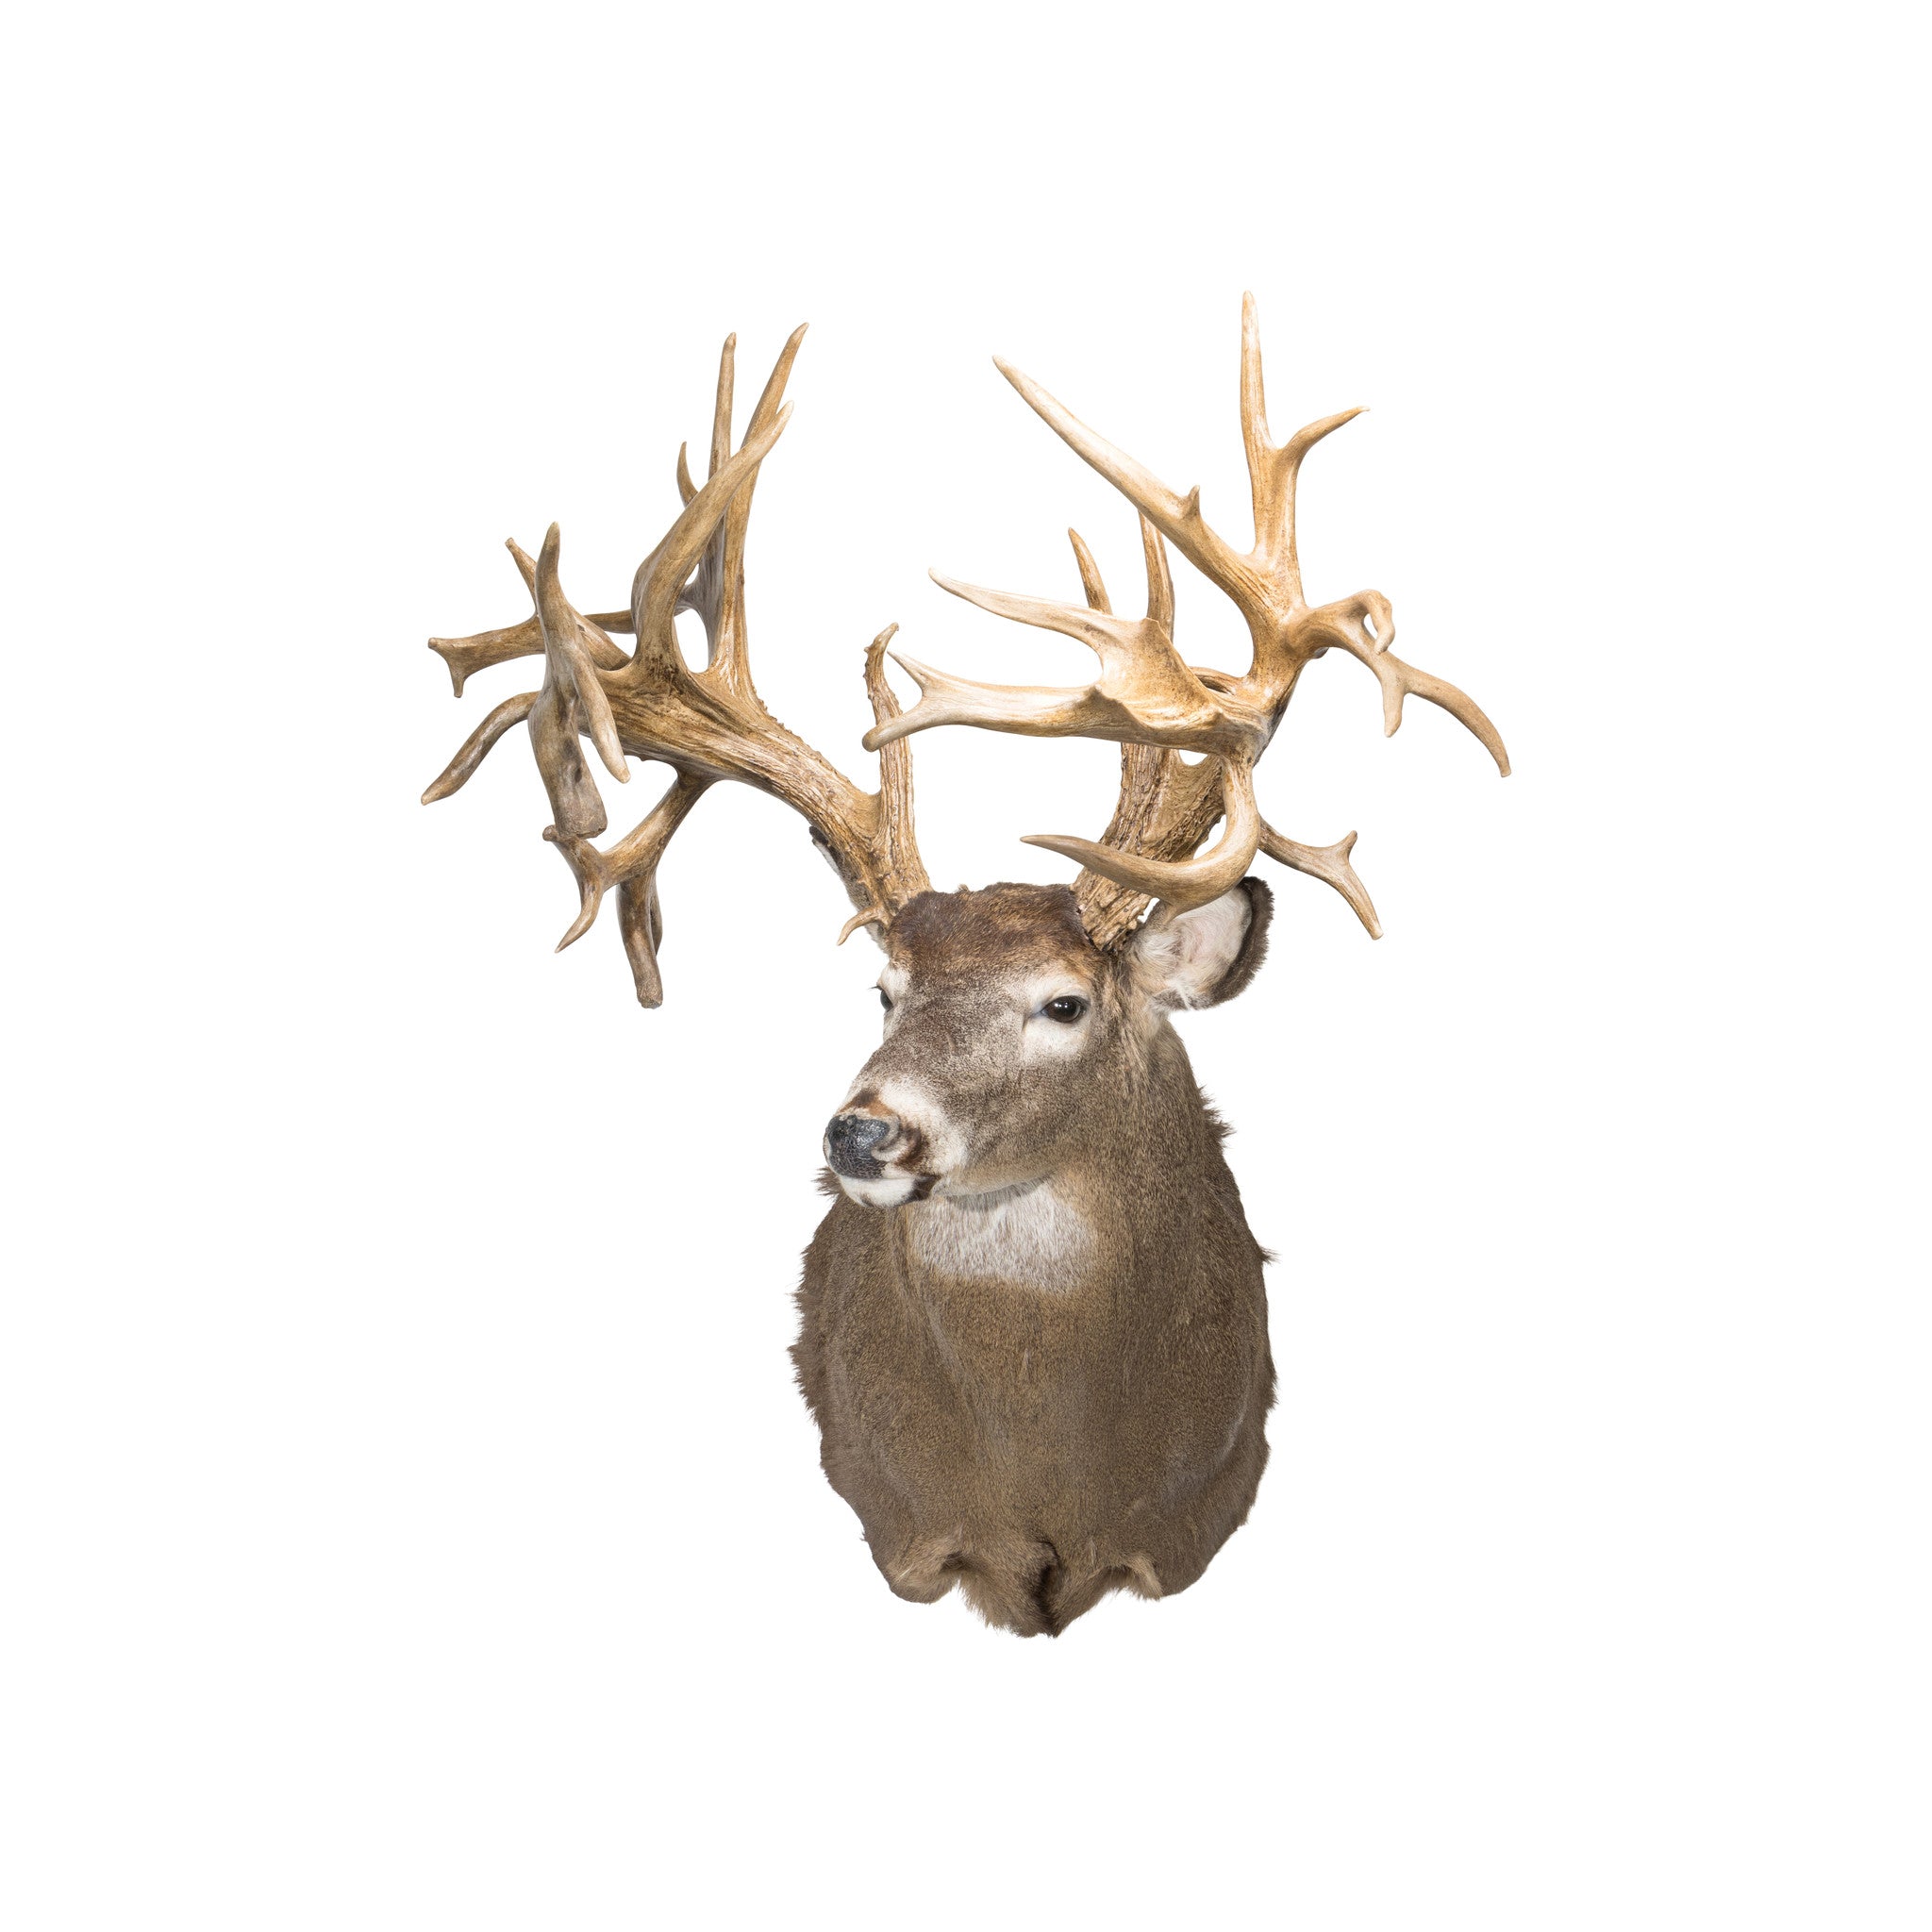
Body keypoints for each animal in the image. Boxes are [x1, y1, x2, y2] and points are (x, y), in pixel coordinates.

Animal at [421, 299, 1509, 1635]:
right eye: (884, 990)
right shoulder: (907, 1528)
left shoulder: (1184, 1522)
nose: (862, 1131)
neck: (1046, 1485)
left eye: (1063, 1001)